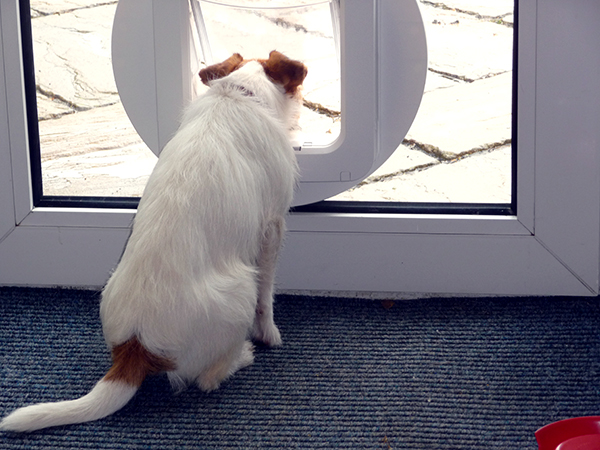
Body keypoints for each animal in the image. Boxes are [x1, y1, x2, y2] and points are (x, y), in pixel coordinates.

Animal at [0, 50, 308, 432]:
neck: (238, 94)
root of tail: (136, 346)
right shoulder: (271, 229)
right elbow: (268, 298)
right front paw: (268, 334)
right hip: (241, 291)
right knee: (207, 378)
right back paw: (242, 356)